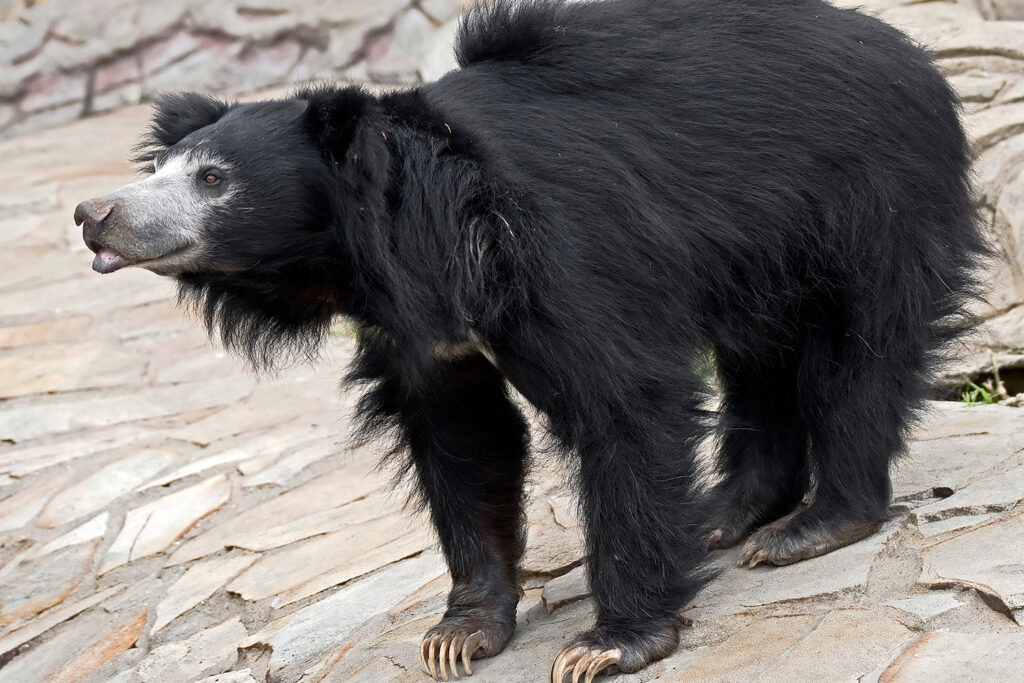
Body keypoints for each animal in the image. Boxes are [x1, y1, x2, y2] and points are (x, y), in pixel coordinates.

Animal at [74, 0, 987, 680]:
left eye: (213, 179)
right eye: (161, 170)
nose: (94, 213)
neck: (387, 245)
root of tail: (919, 57)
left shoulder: (557, 251)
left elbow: (627, 404)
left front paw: (607, 644)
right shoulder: (418, 330)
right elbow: (462, 440)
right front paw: (459, 633)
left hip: (868, 197)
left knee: (858, 352)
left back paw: (818, 523)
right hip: (760, 254)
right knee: (759, 360)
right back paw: (727, 513)